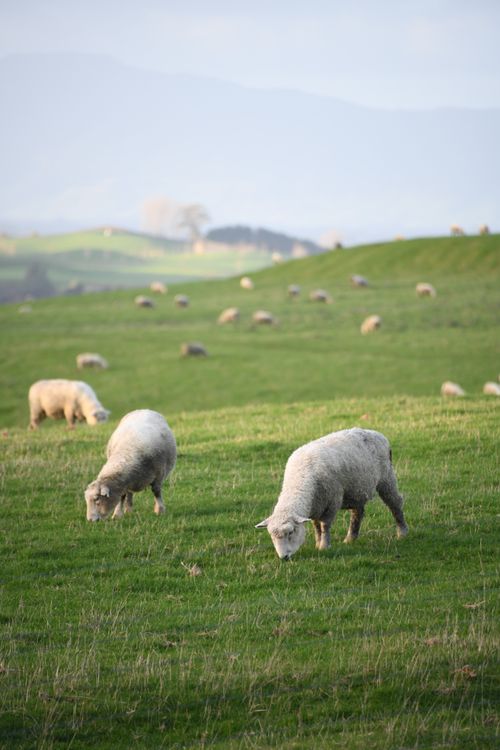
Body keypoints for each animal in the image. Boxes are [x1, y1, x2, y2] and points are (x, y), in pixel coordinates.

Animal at [255, 428, 408, 560]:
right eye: (271, 536)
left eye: (291, 532)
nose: (284, 558)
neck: (300, 478)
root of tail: (376, 433)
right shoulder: (317, 505)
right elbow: (316, 526)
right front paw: (318, 543)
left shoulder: (333, 501)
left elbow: (325, 525)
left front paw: (324, 546)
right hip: (357, 489)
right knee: (357, 512)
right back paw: (350, 539)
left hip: (386, 478)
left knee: (395, 503)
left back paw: (402, 532)